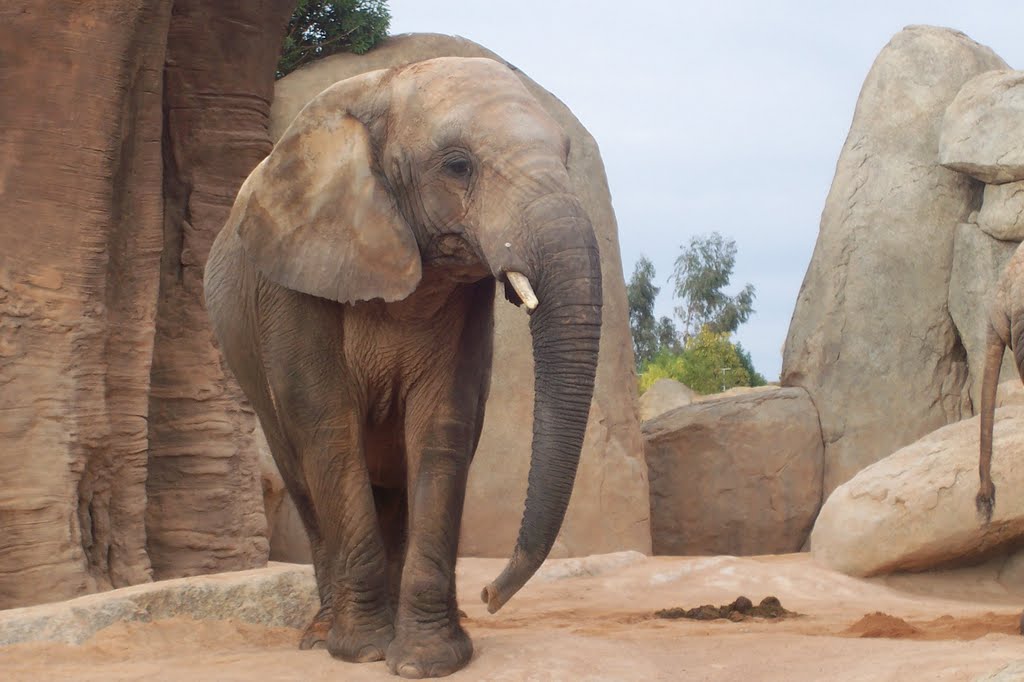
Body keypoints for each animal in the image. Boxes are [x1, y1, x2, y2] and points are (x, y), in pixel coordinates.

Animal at [201, 57, 598, 675]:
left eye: (565, 155)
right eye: (457, 166)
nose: (491, 594)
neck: (383, 86)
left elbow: (440, 426)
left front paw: (425, 660)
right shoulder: (291, 278)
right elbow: (327, 426)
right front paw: (363, 652)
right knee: (305, 478)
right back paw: (323, 635)